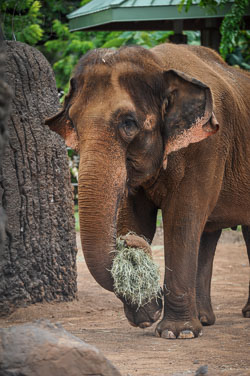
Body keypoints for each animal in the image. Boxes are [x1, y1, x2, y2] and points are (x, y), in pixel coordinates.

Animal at [45, 42, 250, 340]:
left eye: (129, 123)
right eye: (73, 124)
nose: (128, 242)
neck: (159, 64)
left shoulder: (208, 146)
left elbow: (182, 219)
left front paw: (177, 333)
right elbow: (135, 218)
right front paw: (146, 316)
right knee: (209, 233)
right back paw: (204, 320)